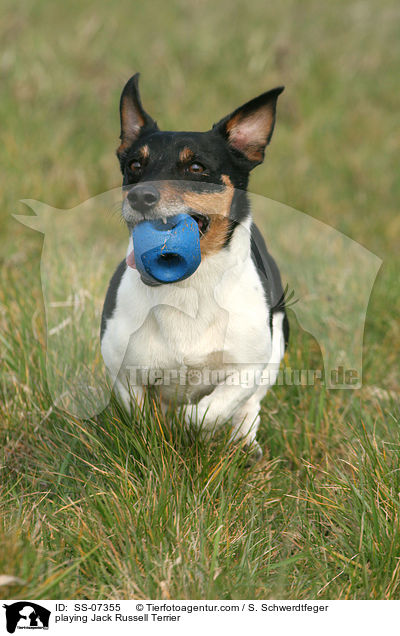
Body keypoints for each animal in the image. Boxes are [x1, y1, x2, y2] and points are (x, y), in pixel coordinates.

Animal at [99, 74, 288, 458]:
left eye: (197, 168)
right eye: (134, 166)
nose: (139, 196)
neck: (186, 287)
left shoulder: (248, 368)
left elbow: (207, 413)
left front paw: (195, 430)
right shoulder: (125, 374)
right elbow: (147, 419)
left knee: (250, 409)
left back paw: (245, 447)